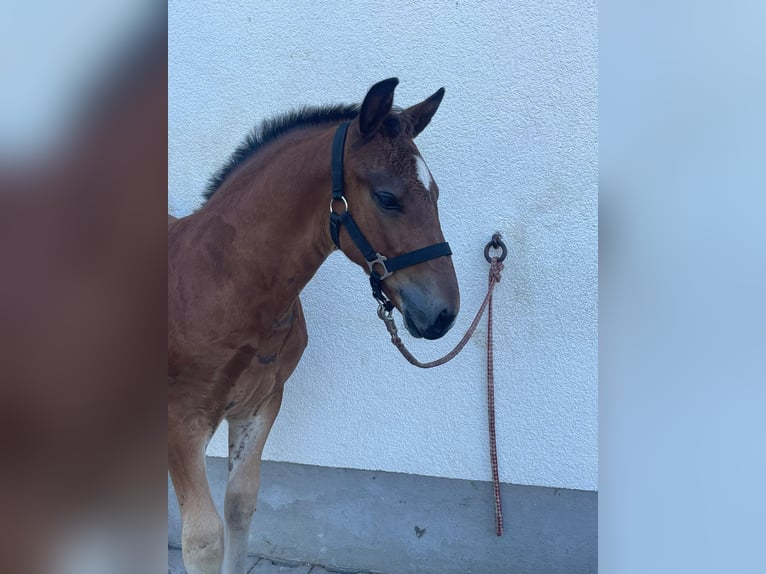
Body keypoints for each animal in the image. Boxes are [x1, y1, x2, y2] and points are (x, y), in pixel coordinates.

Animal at [169, 77, 462, 574]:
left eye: (436, 193)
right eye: (387, 197)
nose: (444, 313)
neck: (220, 284)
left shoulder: (260, 404)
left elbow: (240, 505)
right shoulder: (181, 423)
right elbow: (202, 540)